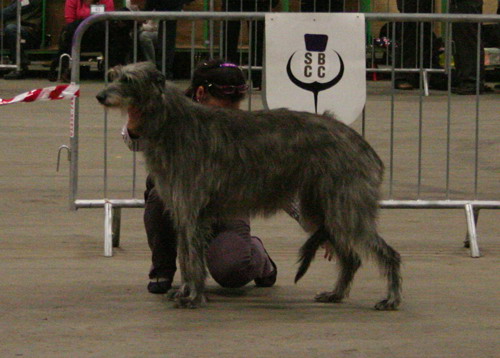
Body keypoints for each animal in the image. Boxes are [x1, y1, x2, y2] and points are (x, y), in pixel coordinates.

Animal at [96, 62, 402, 310]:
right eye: (113, 74)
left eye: (128, 79)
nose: (101, 96)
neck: (172, 123)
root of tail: (363, 145)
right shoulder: (182, 211)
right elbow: (185, 255)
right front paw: (185, 291)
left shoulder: (191, 209)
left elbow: (192, 258)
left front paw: (193, 296)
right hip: (321, 208)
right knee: (351, 258)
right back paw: (336, 294)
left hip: (345, 205)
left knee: (387, 253)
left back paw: (391, 298)